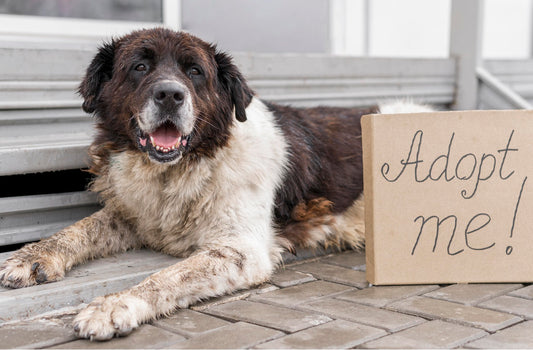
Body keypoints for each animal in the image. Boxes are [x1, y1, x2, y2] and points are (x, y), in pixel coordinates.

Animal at [0, 28, 428, 340]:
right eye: (139, 66)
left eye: (195, 72)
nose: (170, 94)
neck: (180, 171)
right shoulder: (134, 215)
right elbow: (78, 229)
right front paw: (31, 256)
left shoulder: (240, 250)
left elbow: (167, 276)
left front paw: (115, 305)